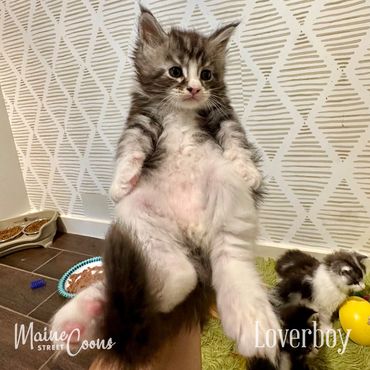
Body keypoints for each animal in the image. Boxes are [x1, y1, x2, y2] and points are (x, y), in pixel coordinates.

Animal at [49, 7, 280, 368]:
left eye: (207, 74)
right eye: (175, 72)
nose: (195, 89)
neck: (181, 112)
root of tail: (193, 233)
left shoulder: (222, 115)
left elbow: (236, 140)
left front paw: (250, 172)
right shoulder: (140, 118)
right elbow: (132, 147)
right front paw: (120, 182)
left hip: (227, 196)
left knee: (231, 260)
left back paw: (252, 322)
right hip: (140, 221)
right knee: (173, 278)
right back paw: (86, 314)